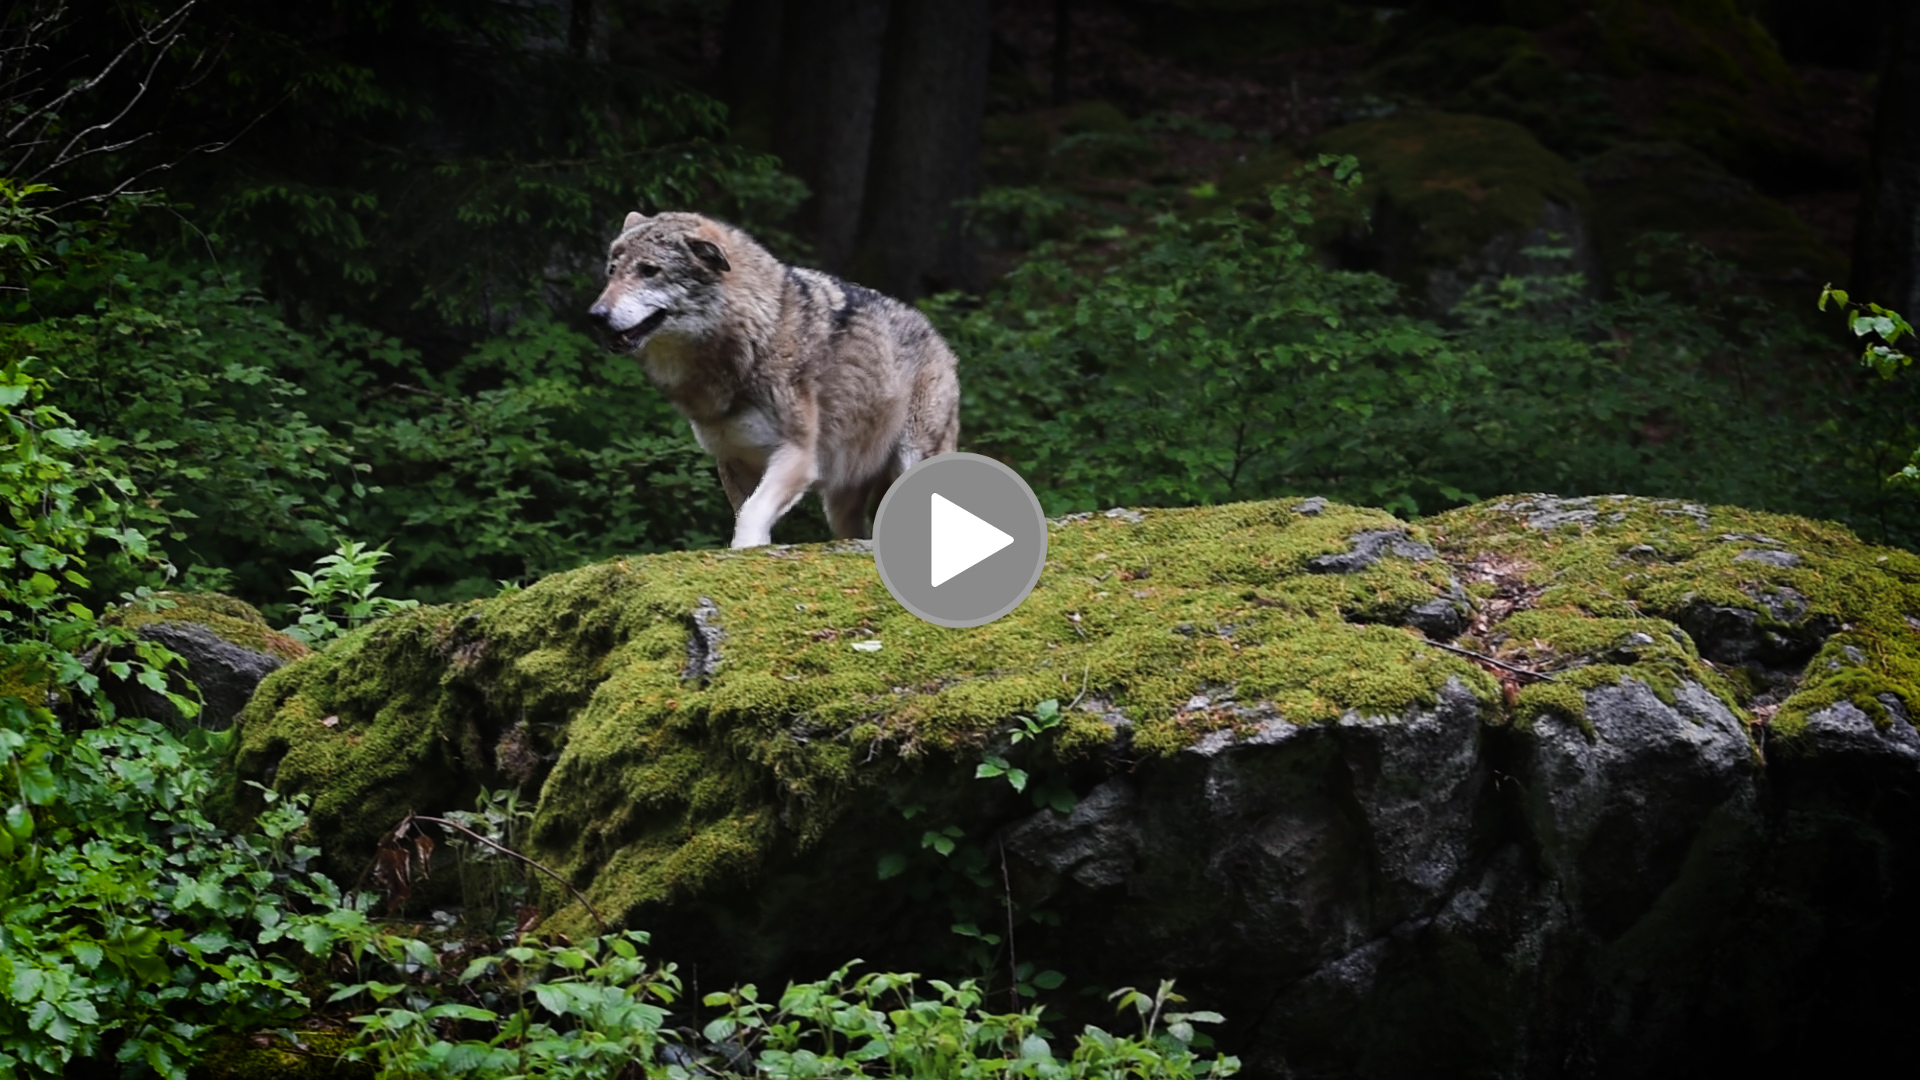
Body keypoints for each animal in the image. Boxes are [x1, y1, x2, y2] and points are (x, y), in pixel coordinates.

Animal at [587, 210, 960, 545]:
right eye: (611, 273)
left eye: (649, 270)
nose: (596, 316)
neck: (755, 338)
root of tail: (940, 341)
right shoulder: (733, 462)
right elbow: (745, 514)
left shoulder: (797, 456)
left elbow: (751, 516)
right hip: (839, 504)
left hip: (910, 459)